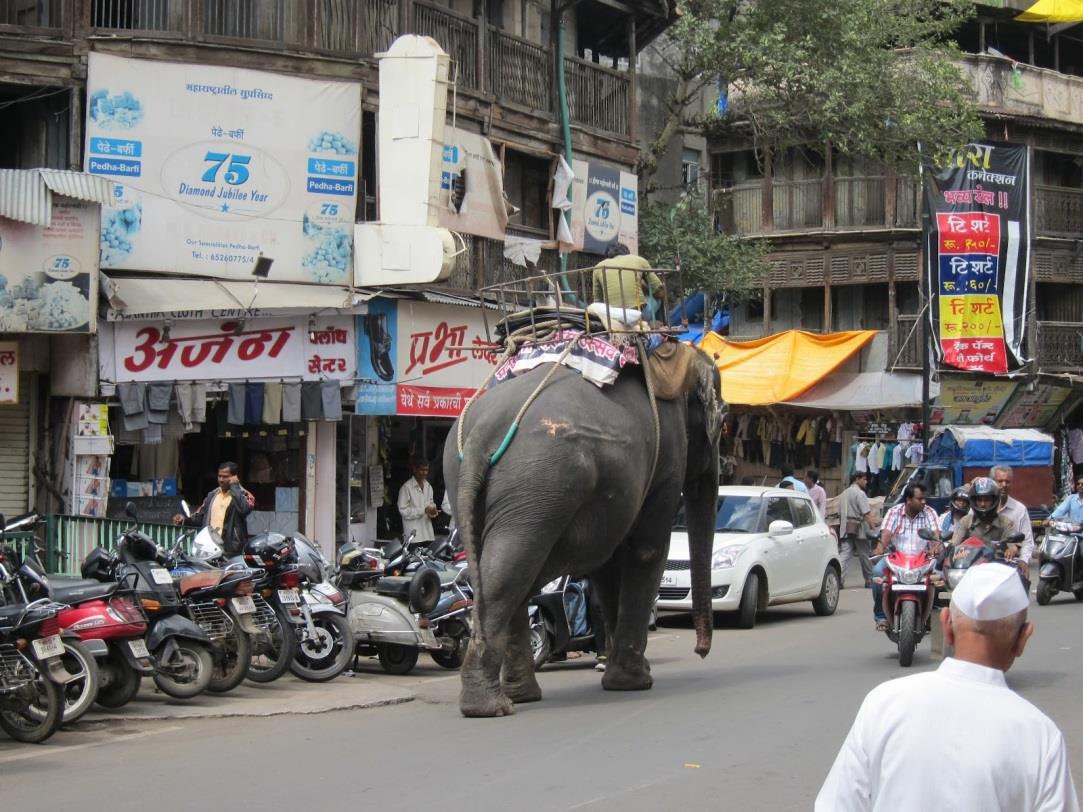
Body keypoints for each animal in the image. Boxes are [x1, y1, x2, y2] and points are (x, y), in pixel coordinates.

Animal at [444, 344, 723, 718]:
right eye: (724, 419)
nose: (701, 652)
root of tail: (480, 433)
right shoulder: (668, 458)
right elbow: (646, 549)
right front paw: (635, 681)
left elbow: (608, 564)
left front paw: (624, 676)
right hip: (541, 481)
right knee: (515, 569)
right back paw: (491, 706)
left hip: (469, 478)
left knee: (504, 569)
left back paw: (516, 696)